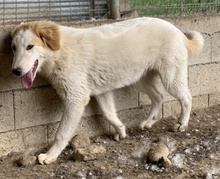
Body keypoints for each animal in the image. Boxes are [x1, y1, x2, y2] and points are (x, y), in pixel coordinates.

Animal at [10, 17, 203, 164]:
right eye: (14, 48)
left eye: (29, 47)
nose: (15, 71)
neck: (59, 51)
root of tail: (176, 29)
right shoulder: (101, 92)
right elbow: (109, 113)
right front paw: (121, 131)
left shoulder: (76, 98)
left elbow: (62, 133)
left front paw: (50, 156)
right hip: (139, 79)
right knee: (159, 97)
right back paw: (148, 123)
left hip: (170, 78)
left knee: (186, 98)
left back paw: (182, 123)